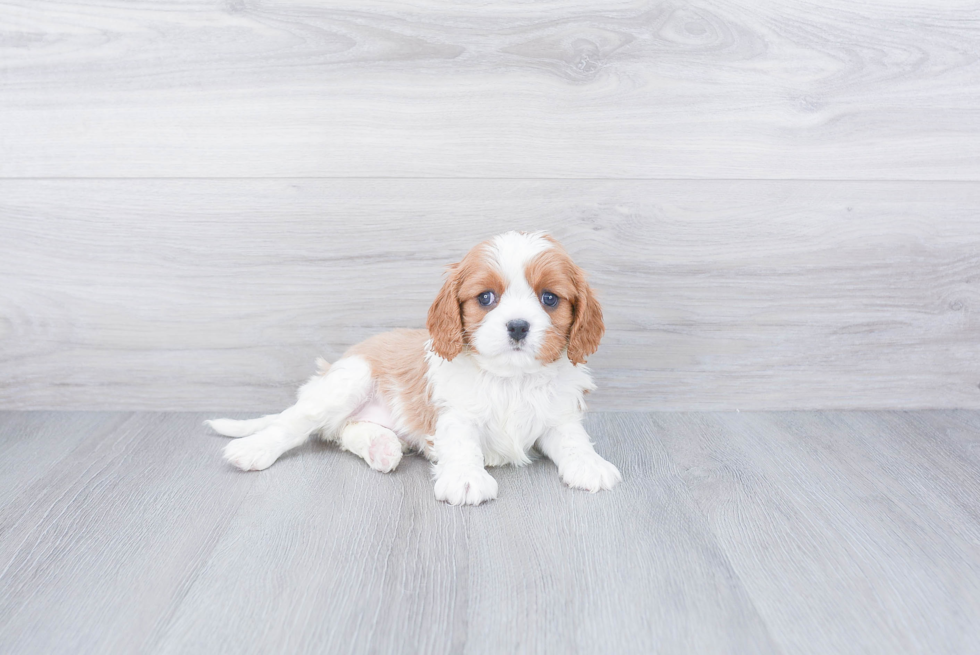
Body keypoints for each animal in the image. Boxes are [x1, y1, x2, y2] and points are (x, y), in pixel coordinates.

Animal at [207, 232, 620, 508]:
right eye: (486, 297)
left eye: (549, 298)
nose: (518, 326)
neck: (510, 379)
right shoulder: (454, 413)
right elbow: (461, 444)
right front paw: (466, 478)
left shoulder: (558, 416)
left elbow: (573, 440)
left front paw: (590, 465)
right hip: (349, 379)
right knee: (297, 423)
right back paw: (254, 449)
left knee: (342, 431)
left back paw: (382, 447)